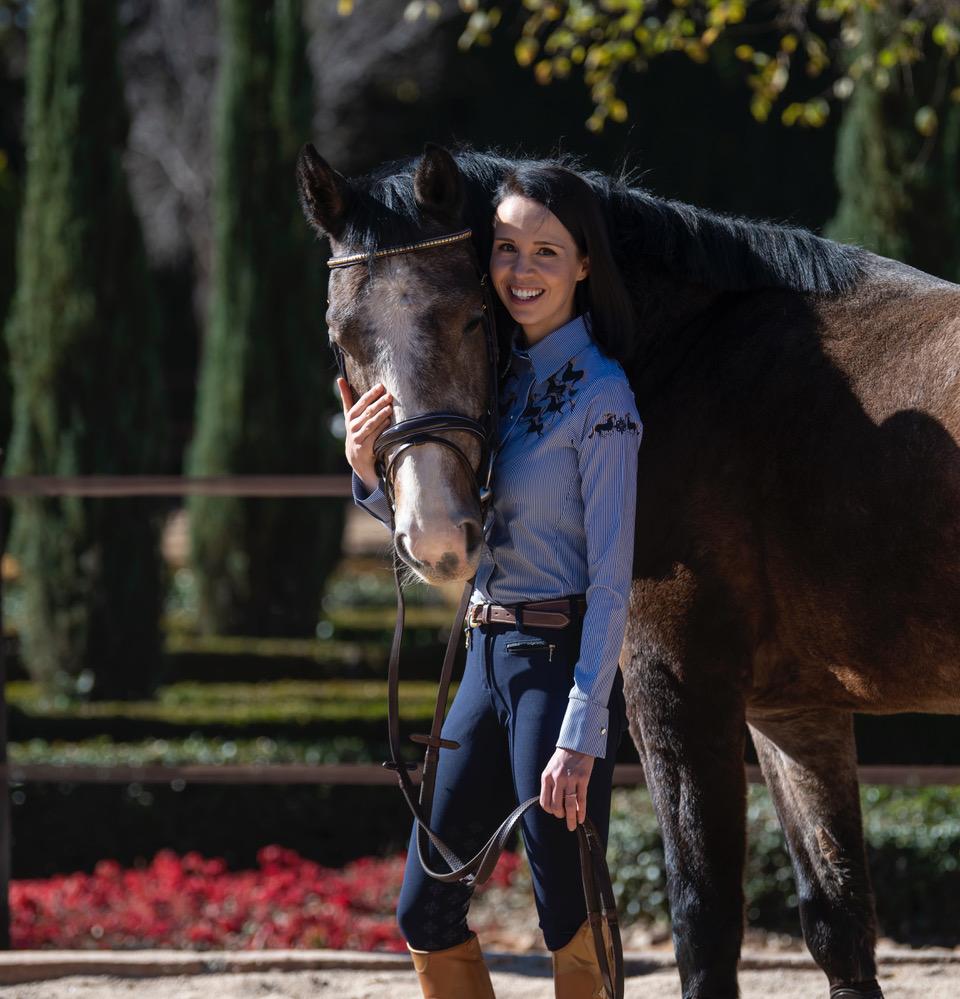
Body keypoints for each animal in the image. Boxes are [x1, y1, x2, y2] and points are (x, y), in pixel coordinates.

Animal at [296, 143, 956, 999]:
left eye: (471, 315)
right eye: (341, 335)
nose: (436, 532)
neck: (687, 357)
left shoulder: (672, 687)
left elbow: (703, 923)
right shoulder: (793, 712)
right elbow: (837, 921)